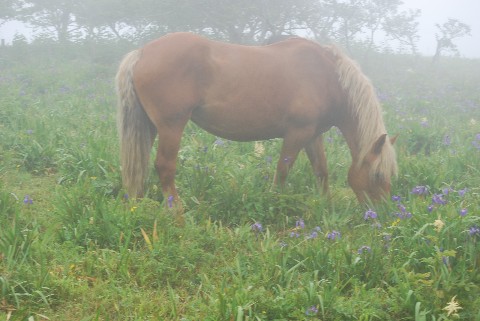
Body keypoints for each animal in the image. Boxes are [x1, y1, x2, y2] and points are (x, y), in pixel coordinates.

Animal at [116, 32, 398, 210]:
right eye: (377, 175)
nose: (381, 215)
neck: (326, 76)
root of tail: (141, 53)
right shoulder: (296, 133)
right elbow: (283, 171)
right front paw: (275, 203)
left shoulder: (313, 135)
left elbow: (321, 170)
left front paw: (326, 205)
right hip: (171, 126)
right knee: (164, 166)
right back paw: (176, 211)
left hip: (150, 126)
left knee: (138, 164)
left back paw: (138, 204)